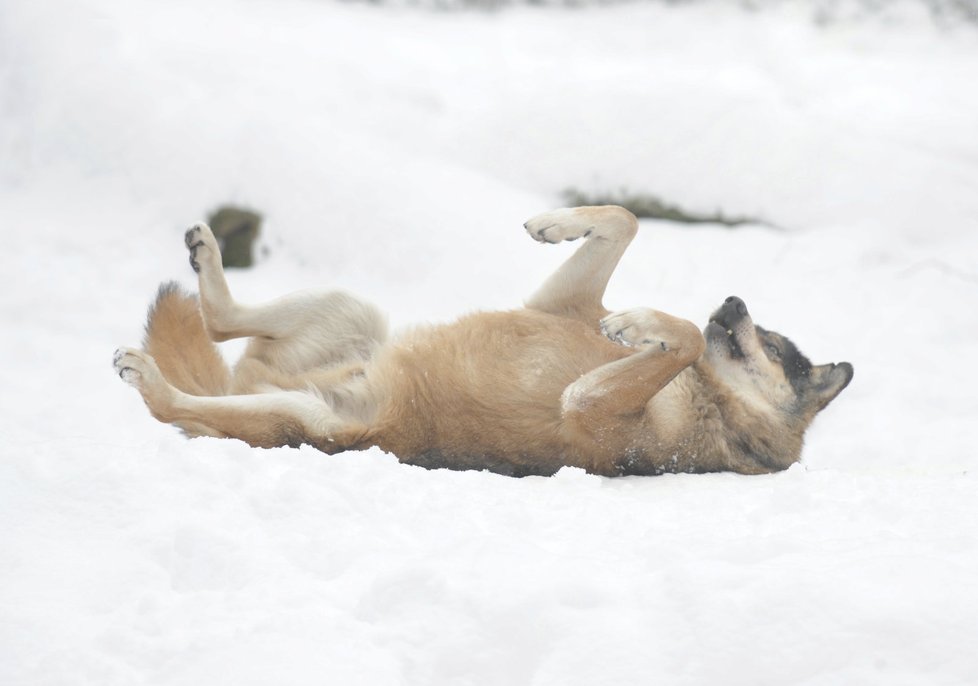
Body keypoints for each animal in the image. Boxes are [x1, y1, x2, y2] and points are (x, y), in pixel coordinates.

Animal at [112, 206, 848, 478]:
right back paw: (205, 258)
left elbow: (689, 337)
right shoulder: (558, 304)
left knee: (174, 405)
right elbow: (624, 220)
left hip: (308, 421)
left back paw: (147, 375)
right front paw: (556, 224)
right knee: (219, 321)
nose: (734, 301)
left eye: (775, 347)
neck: (711, 402)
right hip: (351, 310)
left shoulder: (590, 407)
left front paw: (645, 328)